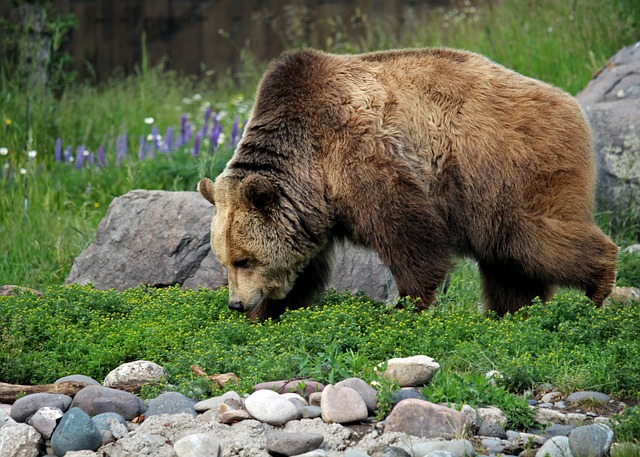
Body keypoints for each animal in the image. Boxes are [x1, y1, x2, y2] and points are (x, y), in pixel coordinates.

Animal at [198, 47, 616, 320]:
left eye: (244, 258)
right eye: (225, 259)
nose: (236, 303)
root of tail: (570, 103)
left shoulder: (360, 155)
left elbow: (407, 233)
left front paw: (405, 304)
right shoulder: (311, 208)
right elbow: (305, 265)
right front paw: (271, 309)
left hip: (504, 168)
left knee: (527, 236)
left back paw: (599, 283)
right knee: (507, 263)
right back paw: (510, 313)